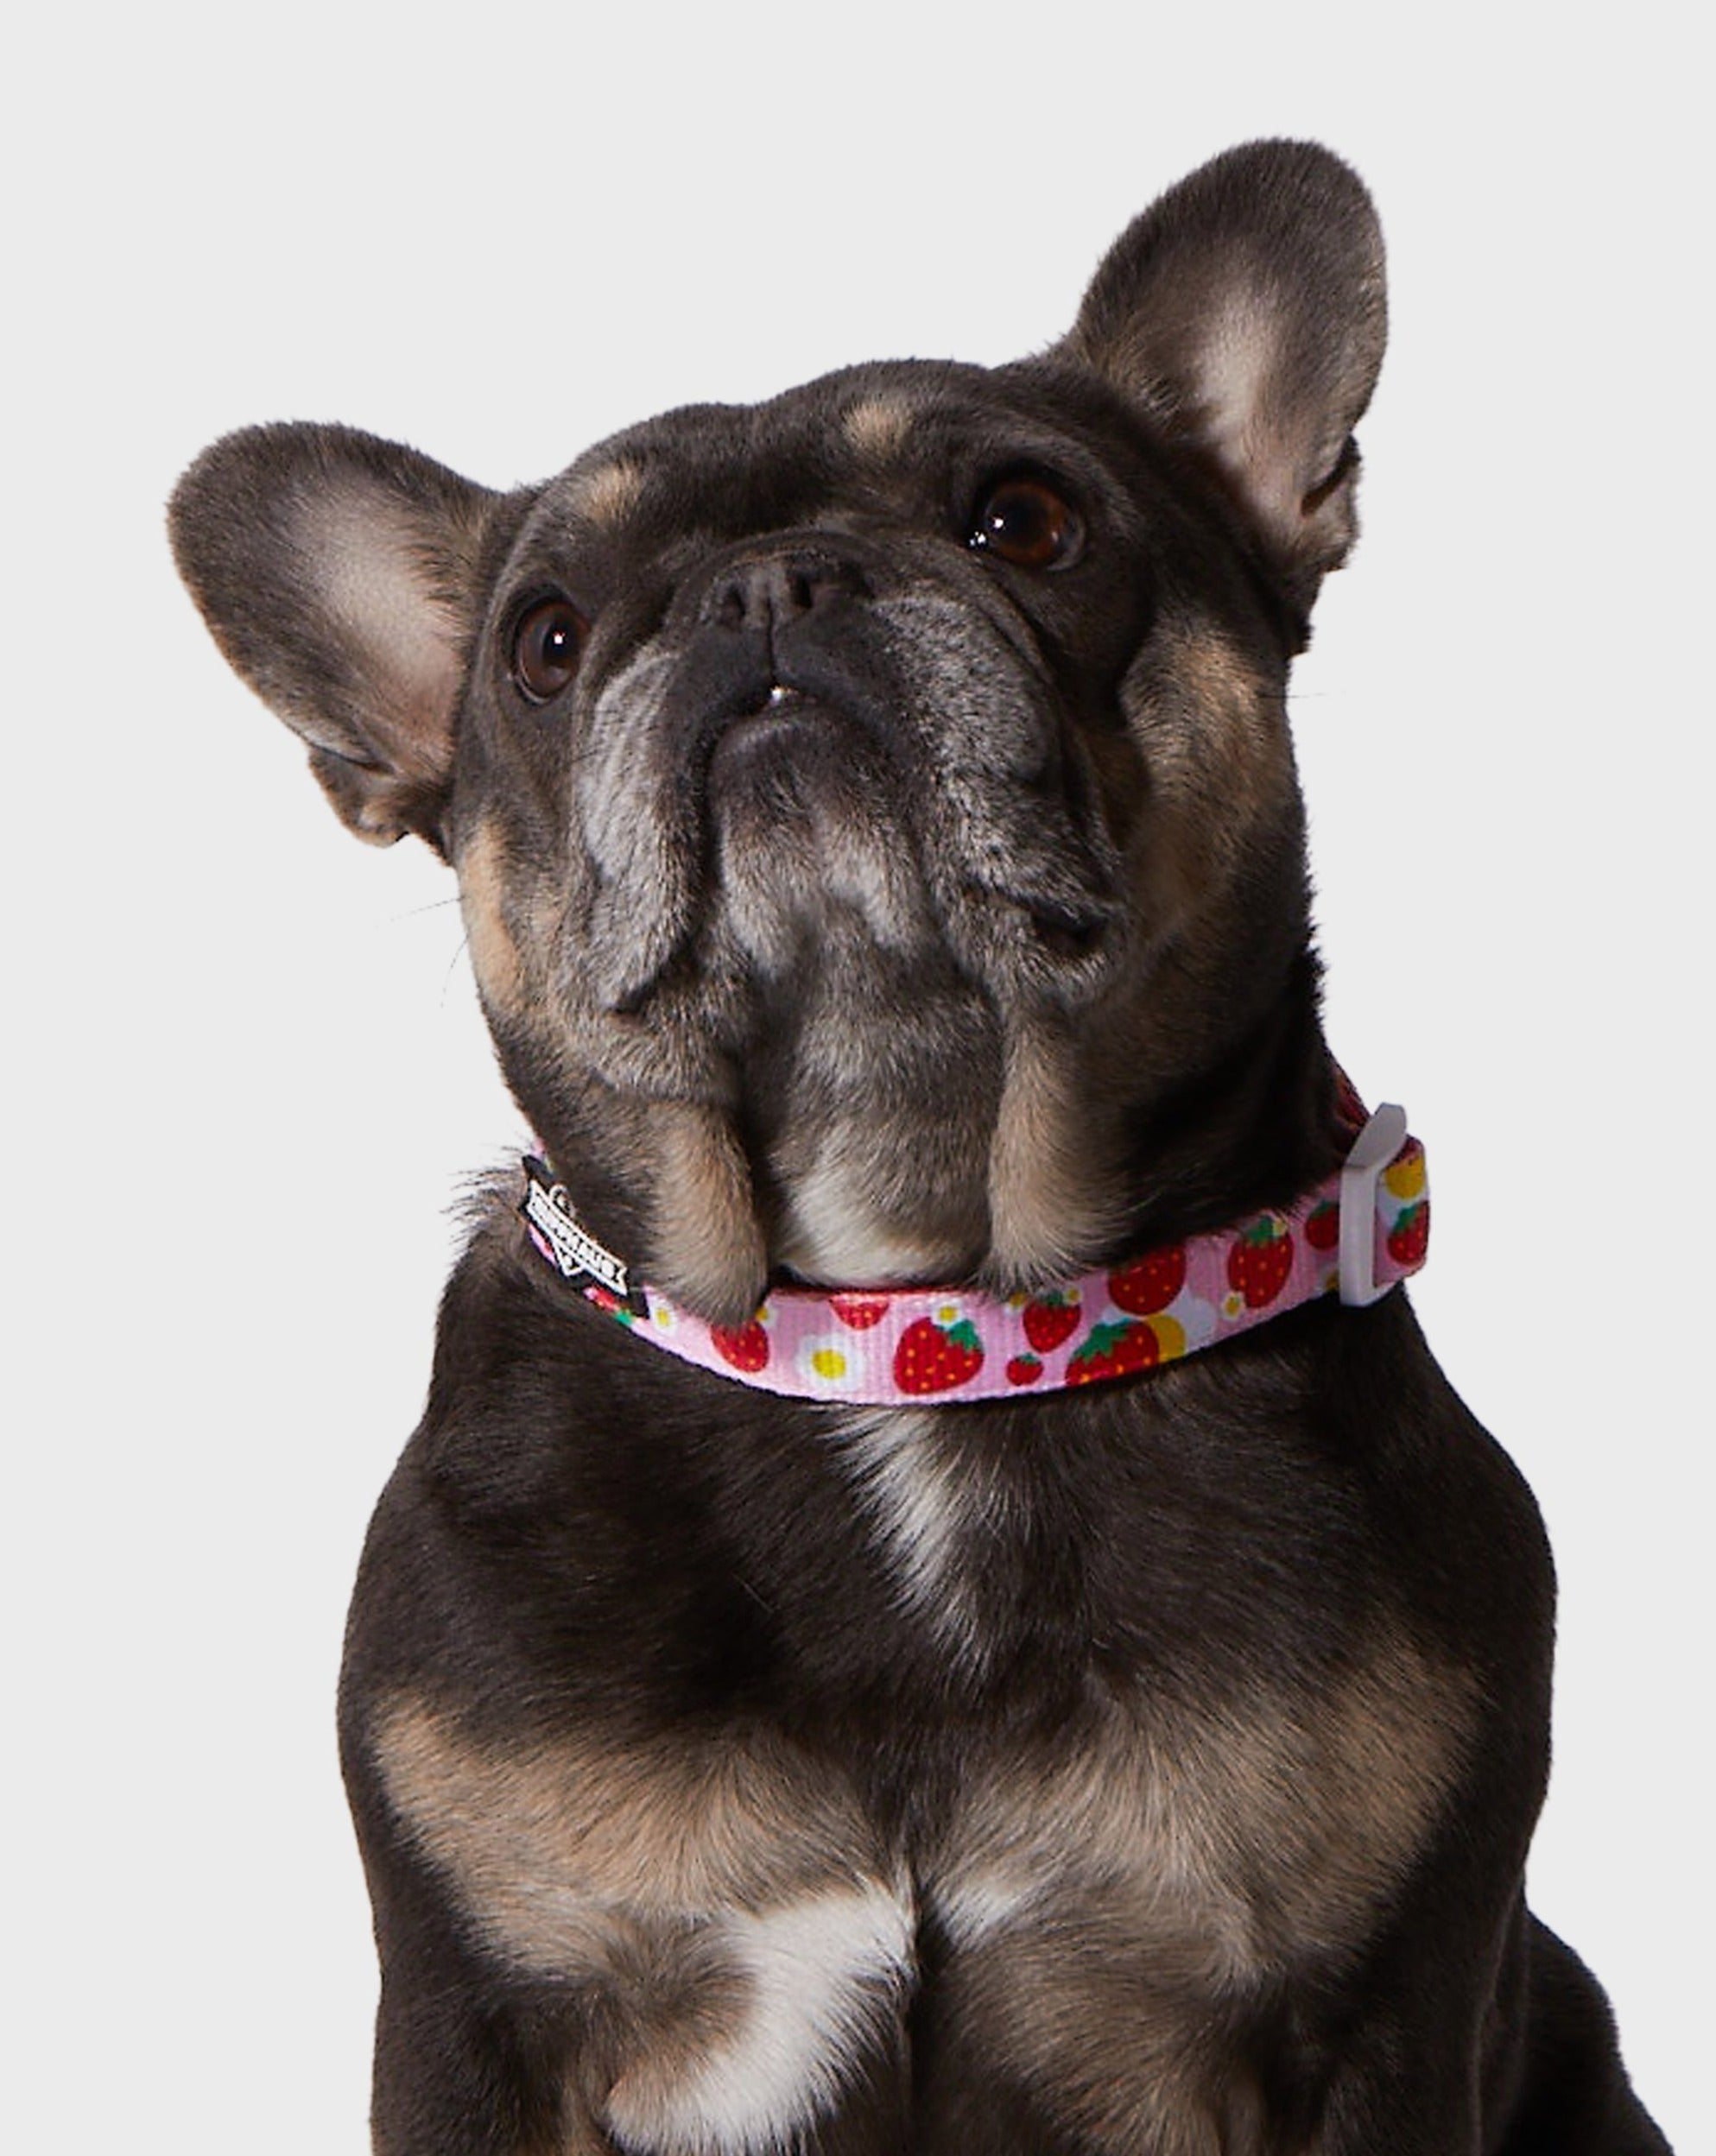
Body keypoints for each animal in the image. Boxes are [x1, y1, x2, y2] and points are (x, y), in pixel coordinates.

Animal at [167, 143, 1673, 2147]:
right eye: (545, 641)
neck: (913, 1327)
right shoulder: (481, 2024)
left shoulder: (1371, 2019)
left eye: (1024, 519)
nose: (762, 590)